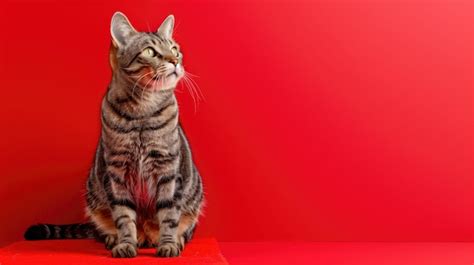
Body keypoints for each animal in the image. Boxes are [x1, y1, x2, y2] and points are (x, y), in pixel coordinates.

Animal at [23, 11, 204, 256]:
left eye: (175, 49)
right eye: (150, 52)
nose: (175, 61)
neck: (142, 111)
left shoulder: (168, 169)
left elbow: (169, 215)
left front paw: (168, 244)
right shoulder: (117, 172)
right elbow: (124, 217)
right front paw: (125, 243)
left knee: (185, 227)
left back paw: (176, 240)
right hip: (94, 195)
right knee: (104, 228)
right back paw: (113, 238)